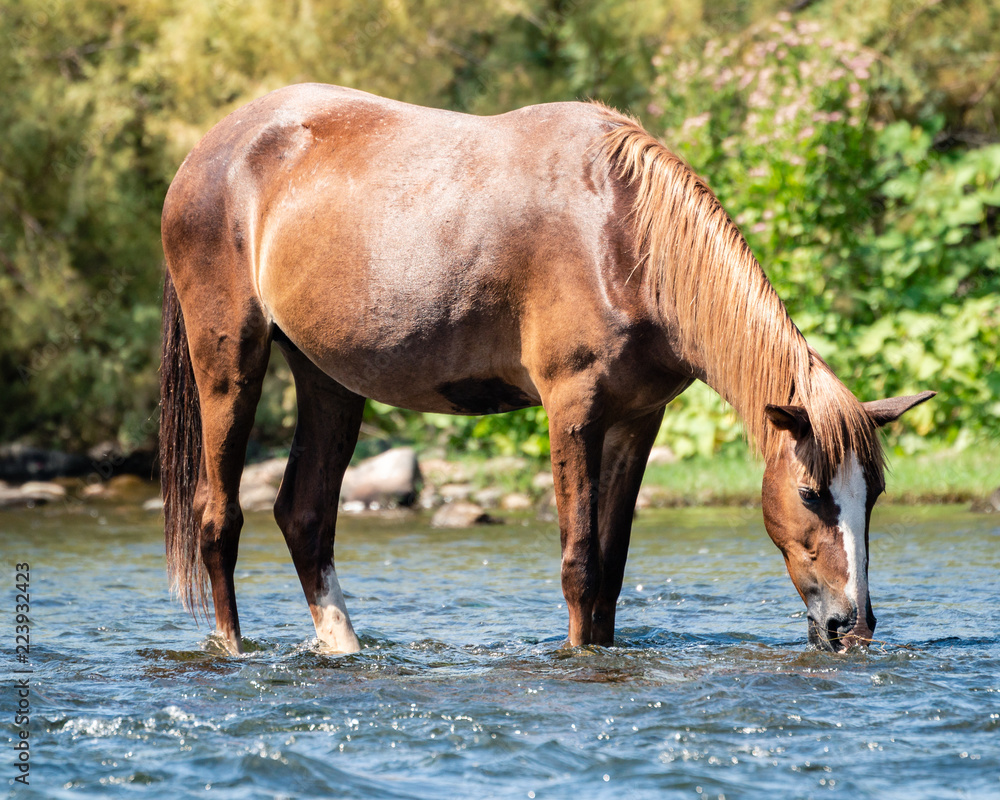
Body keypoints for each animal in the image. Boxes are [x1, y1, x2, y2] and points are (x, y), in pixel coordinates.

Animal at [160, 84, 934, 656]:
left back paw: (343, 647)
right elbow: (579, 562)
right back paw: (233, 649)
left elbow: (612, 568)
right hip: (229, 360)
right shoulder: (573, 411)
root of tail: (210, 149)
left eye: (875, 494)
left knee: (306, 514)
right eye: (810, 493)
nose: (852, 625)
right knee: (218, 516)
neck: (623, 237)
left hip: (329, 379)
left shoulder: (635, 421)